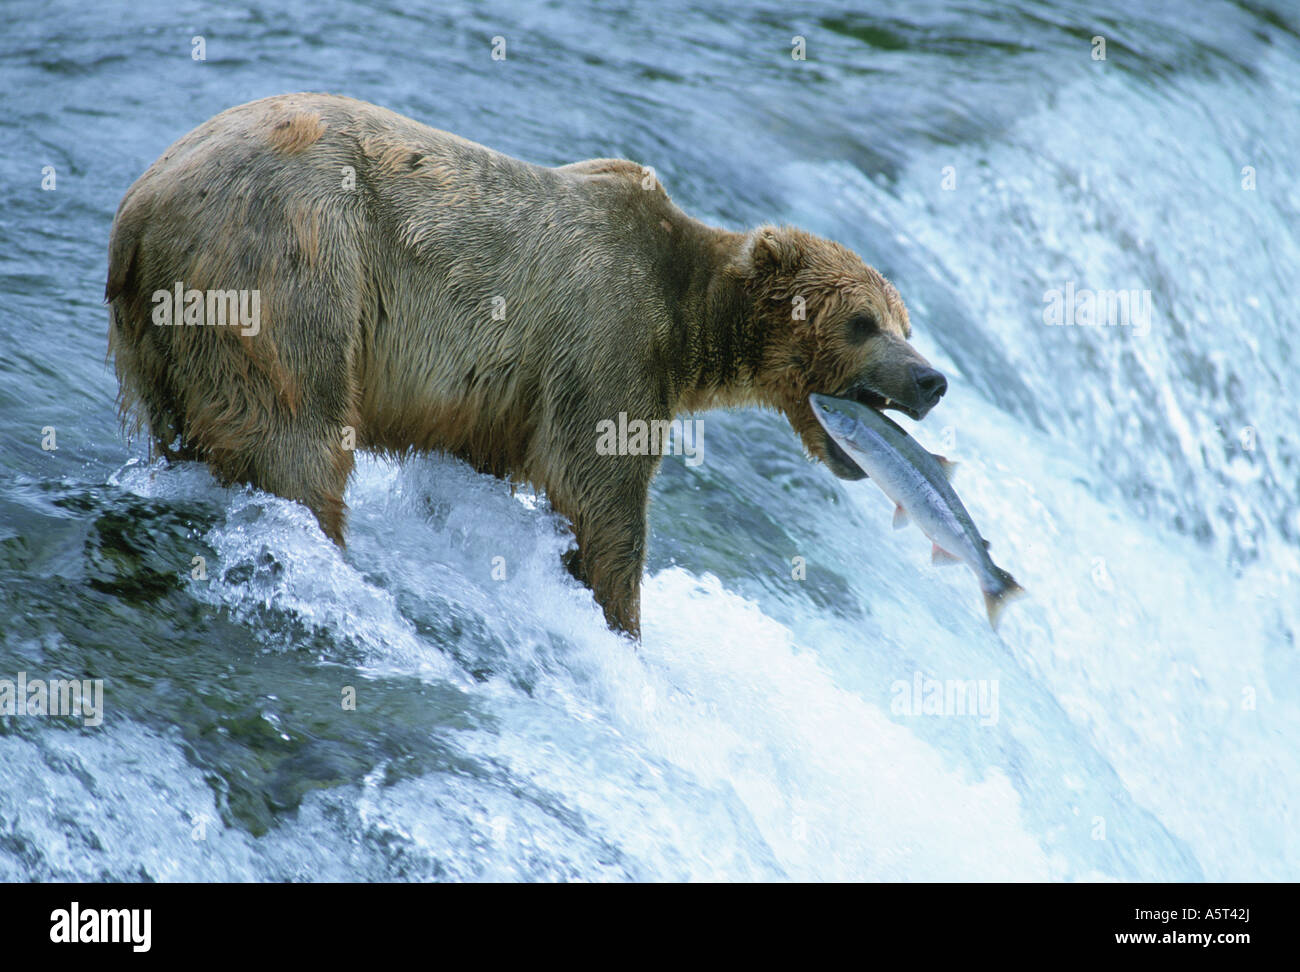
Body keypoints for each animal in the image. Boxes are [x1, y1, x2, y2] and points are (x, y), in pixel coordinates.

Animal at [106, 93, 947, 639]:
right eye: (864, 322)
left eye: (905, 323)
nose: (932, 379)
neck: (690, 319)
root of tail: (141, 205)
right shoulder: (607, 336)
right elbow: (600, 490)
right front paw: (618, 617)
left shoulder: (496, 402)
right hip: (292, 263)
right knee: (297, 437)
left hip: (159, 340)